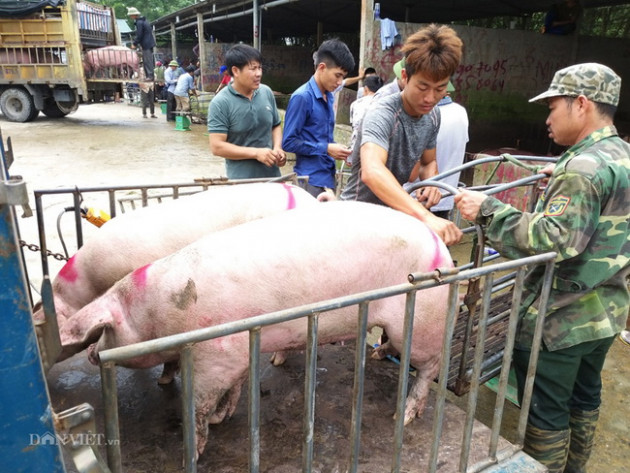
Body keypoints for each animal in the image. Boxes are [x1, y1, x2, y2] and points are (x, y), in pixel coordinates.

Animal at [58, 201, 454, 456]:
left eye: (105, 330)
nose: (92, 353)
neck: (159, 315)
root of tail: (443, 250)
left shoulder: (217, 352)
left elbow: (198, 403)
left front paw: (195, 450)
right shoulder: (239, 350)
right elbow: (235, 387)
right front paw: (223, 417)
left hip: (421, 320)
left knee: (431, 366)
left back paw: (404, 415)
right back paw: (376, 355)